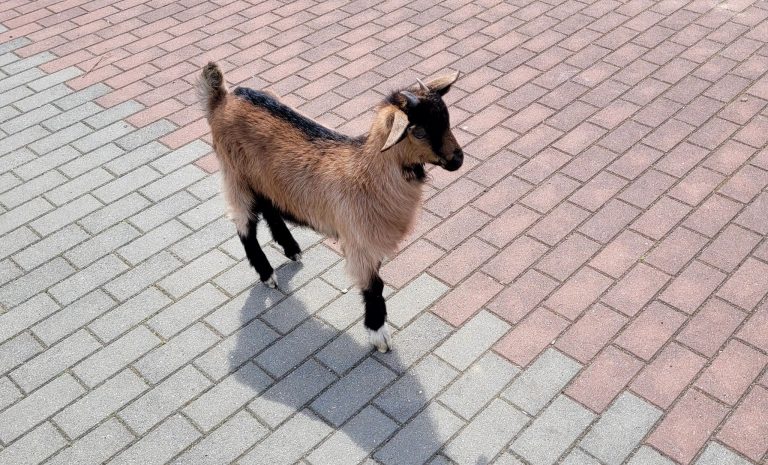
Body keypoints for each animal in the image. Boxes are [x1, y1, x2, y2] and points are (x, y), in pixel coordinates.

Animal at [198, 62, 463, 352]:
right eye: (420, 131)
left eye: (447, 120)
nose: (458, 159)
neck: (367, 173)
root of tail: (222, 98)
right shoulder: (359, 240)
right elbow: (375, 287)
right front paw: (378, 334)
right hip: (235, 176)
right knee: (244, 225)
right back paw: (267, 273)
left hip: (263, 178)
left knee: (269, 206)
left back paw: (290, 248)